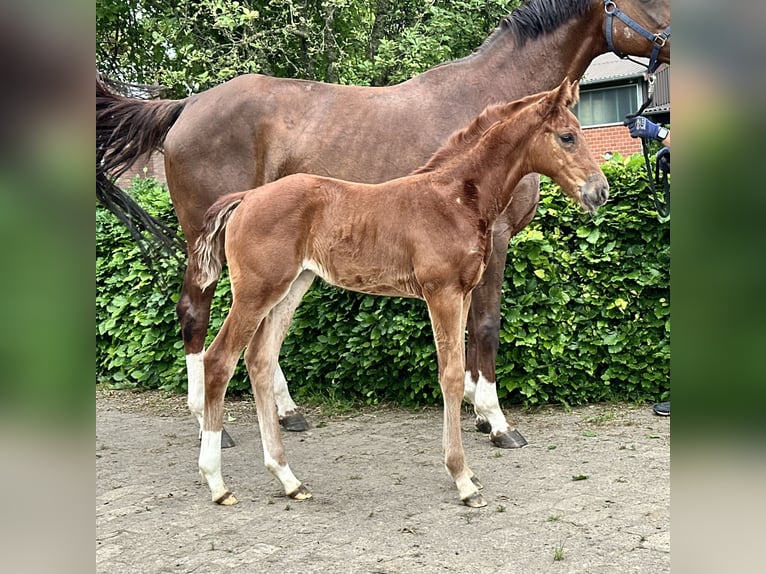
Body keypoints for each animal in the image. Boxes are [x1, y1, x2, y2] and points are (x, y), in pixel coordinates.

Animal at [190, 80, 608, 508]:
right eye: (568, 136)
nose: (600, 191)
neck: (454, 199)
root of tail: (245, 198)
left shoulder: (464, 294)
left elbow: (463, 363)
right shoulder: (441, 293)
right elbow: (450, 375)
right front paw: (462, 479)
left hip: (292, 287)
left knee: (259, 359)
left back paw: (288, 478)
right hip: (256, 291)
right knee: (219, 360)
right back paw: (218, 482)